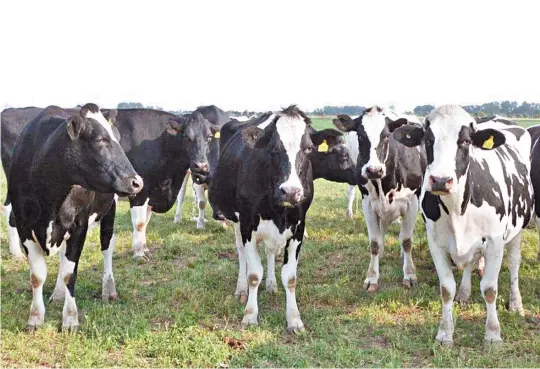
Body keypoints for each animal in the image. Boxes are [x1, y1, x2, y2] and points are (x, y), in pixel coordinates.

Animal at [7, 103, 142, 330]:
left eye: (116, 138)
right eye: (100, 140)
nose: (137, 182)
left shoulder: (79, 225)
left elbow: (70, 274)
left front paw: (70, 319)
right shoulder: (24, 225)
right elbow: (37, 276)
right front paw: (35, 317)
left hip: (109, 210)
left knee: (107, 247)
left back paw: (109, 289)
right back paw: (58, 293)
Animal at [207, 104, 346, 330]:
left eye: (309, 148)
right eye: (272, 148)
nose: (290, 191)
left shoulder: (298, 228)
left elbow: (290, 277)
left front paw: (294, 318)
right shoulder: (247, 225)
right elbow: (254, 274)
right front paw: (250, 314)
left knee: (270, 251)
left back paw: (271, 284)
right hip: (236, 220)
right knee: (241, 253)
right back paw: (241, 289)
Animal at [334, 105, 426, 290]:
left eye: (386, 136)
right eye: (361, 136)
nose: (374, 170)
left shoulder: (412, 203)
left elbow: (407, 241)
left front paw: (409, 274)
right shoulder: (368, 204)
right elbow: (374, 243)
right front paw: (372, 277)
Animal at [392, 104, 532, 344]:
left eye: (466, 141)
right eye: (428, 139)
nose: (440, 180)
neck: (457, 209)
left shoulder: (495, 242)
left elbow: (490, 289)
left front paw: (493, 334)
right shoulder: (435, 242)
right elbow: (446, 288)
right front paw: (444, 333)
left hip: (517, 230)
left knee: (514, 263)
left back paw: (516, 304)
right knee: (470, 262)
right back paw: (465, 293)